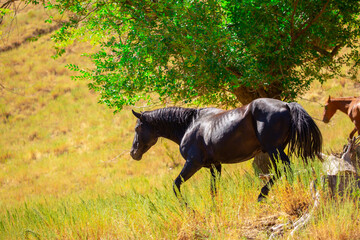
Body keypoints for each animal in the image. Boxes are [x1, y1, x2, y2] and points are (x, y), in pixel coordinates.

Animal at [131, 97, 322, 201]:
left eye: (137, 128)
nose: (133, 153)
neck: (189, 125)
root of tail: (287, 105)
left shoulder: (193, 163)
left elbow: (176, 185)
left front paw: (187, 209)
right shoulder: (215, 166)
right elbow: (213, 191)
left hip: (274, 149)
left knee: (286, 168)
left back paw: (266, 194)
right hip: (275, 150)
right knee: (279, 170)